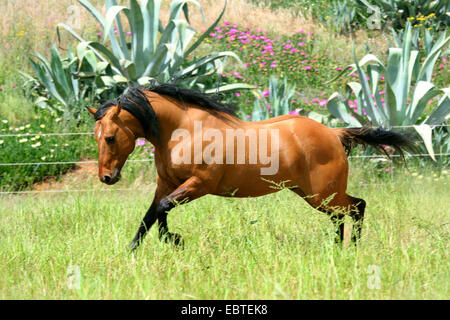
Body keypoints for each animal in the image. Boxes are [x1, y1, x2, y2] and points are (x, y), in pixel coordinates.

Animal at [86, 83, 414, 252]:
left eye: (111, 137)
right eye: (97, 136)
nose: (107, 178)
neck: (183, 131)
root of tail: (334, 134)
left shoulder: (199, 185)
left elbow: (163, 208)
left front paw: (175, 241)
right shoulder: (166, 183)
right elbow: (150, 216)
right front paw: (131, 251)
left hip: (322, 193)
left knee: (357, 207)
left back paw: (351, 249)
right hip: (313, 195)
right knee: (344, 214)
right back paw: (336, 248)